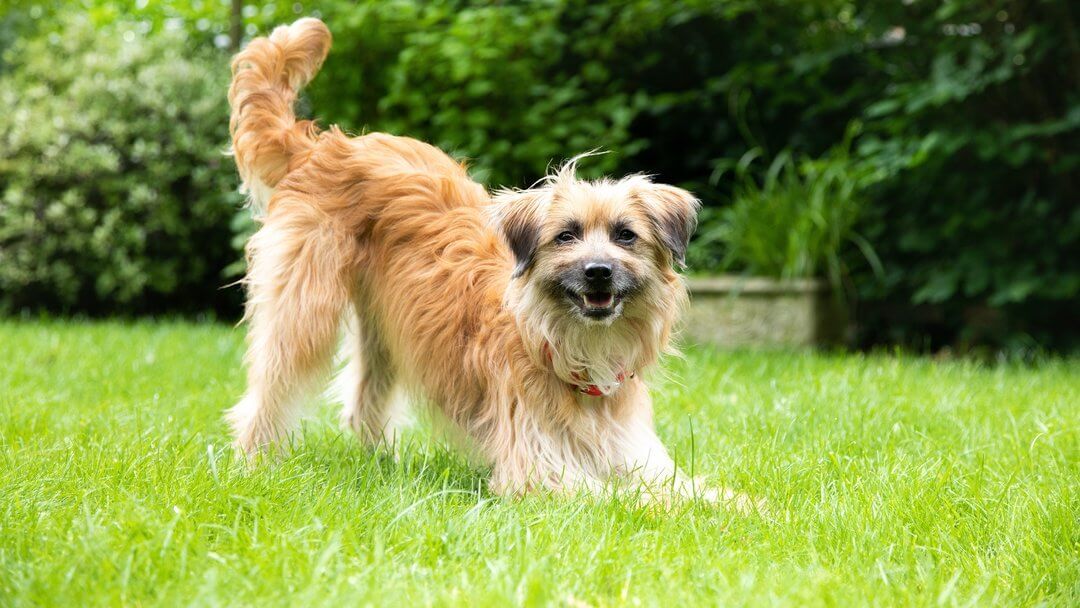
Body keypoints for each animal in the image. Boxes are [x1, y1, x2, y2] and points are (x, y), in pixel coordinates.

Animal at [227, 16, 751, 507]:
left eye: (626, 236)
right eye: (566, 235)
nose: (598, 272)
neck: (565, 347)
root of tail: (323, 145)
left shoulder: (635, 453)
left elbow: (694, 492)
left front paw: (753, 510)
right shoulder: (537, 467)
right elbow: (629, 499)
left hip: (386, 327)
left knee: (363, 403)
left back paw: (385, 468)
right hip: (303, 310)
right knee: (267, 390)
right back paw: (253, 465)